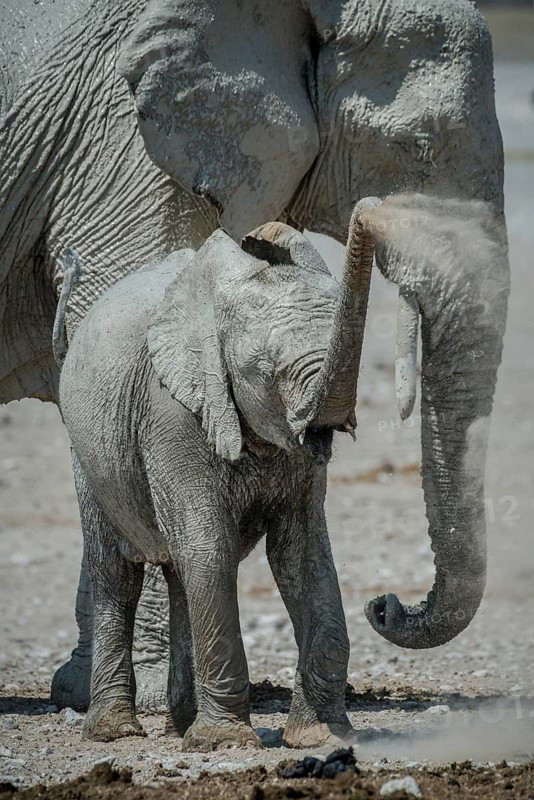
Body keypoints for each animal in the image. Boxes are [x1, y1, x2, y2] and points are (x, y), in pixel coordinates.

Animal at [57, 198, 379, 748]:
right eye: (269, 372)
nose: (371, 209)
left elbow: (301, 553)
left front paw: (323, 737)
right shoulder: (168, 411)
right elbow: (210, 544)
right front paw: (226, 742)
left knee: (178, 570)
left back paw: (180, 725)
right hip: (87, 451)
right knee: (119, 571)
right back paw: (116, 732)